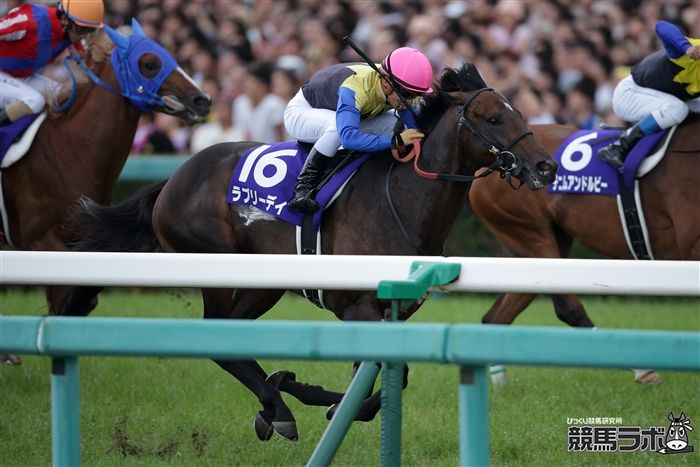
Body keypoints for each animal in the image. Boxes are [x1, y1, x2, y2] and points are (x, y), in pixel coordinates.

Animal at [58, 64, 557, 441]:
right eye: (493, 119)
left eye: (516, 112)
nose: (546, 165)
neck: (398, 197)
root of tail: (174, 179)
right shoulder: (356, 307)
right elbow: (384, 381)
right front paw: (326, 403)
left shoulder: (387, 312)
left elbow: (384, 378)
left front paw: (318, 395)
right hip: (213, 263)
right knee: (219, 340)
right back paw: (279, 408)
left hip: (264, 283)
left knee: (235, 339)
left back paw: (276, 399)